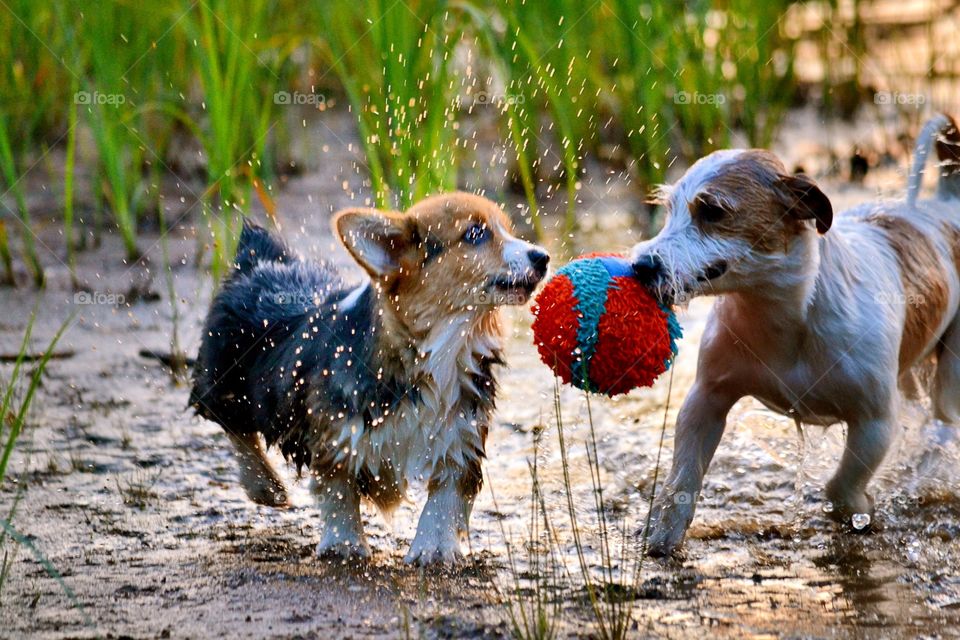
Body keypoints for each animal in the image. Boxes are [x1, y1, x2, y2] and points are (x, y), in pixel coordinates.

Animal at [189, 191, 548, 564]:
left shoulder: (461, 435)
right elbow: (339, 493)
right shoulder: (336, 434)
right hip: (225, 381)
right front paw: (345, 545)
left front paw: (433, 550)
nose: (543, 257)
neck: (441, 346)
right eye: (475, 234)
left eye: (507, 230)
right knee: (234, 426)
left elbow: (445, 496)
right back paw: (264, 484)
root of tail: (258, 263)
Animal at [632, 114, 960, 556]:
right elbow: (682, 479)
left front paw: (860, 510)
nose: (641, 266)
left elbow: (840, 487)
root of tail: (944, 204)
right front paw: (663, 533)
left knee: (944, 420)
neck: (784, 316)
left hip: (950, 372)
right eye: (668, 210)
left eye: (713, 210)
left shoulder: (874, 423)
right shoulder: (706, 400)